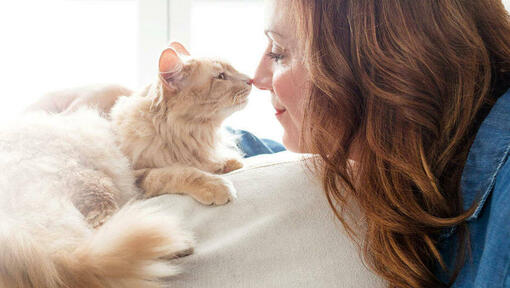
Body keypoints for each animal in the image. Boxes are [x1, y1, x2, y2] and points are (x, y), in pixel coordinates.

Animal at [0, 41, 251, 286]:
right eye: (220, 76)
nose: (250, 79)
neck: (188, 132)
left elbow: (214, 162)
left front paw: (230, 163)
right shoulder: (139, 174)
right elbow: (180, 173)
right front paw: (216, 185)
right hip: (96, 183)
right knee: (103, 235)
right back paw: (174, 246)